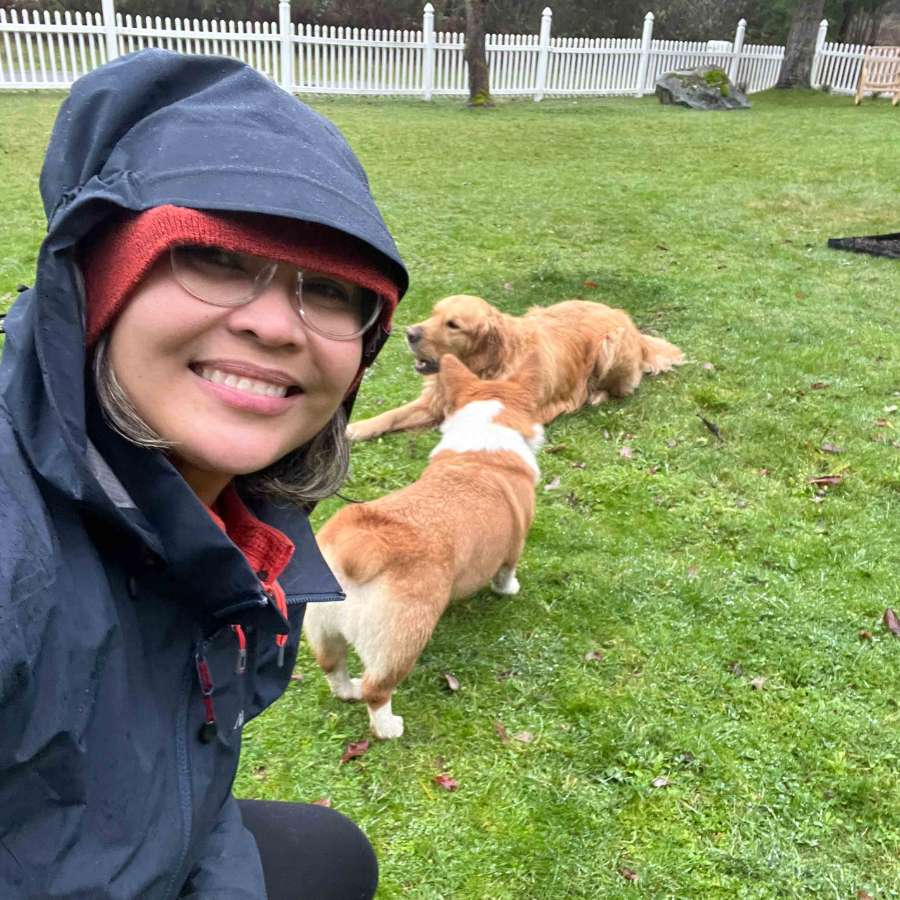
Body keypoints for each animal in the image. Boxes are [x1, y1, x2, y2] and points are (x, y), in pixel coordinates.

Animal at [304, 352, 540, 740]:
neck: (484, 440)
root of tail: (359, 543)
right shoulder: (513, 547)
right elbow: (507, 573)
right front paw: (510, 589)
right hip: (401, 640)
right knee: (378, 690)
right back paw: (389, 727)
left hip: (323, 630)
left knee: (333, 668)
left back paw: (348, 690)